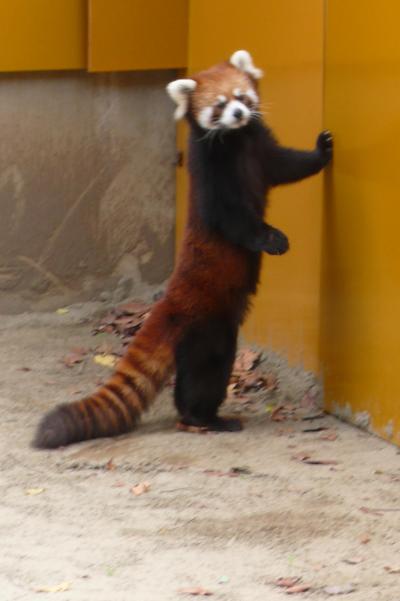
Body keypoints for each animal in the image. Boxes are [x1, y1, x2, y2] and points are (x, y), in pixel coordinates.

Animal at [33, 50, 332, 446]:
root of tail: (173, 300)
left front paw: (322, 151)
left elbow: (289, 165)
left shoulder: (261, 149)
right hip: (205, 331)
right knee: (203, 377)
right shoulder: (212, 177)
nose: (238, 114)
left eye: (241, 96)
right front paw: (271, 239)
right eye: (219, 105)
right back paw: (202, 418)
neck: (237, 141)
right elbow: (233, 220)